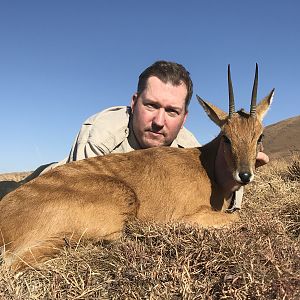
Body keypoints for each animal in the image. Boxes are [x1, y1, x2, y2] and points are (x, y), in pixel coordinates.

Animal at [0, 64, 274, 270]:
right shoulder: (191, 216)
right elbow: (240, 217)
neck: (206, 166)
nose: (245, 174)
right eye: (226, 137)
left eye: (259, 136)